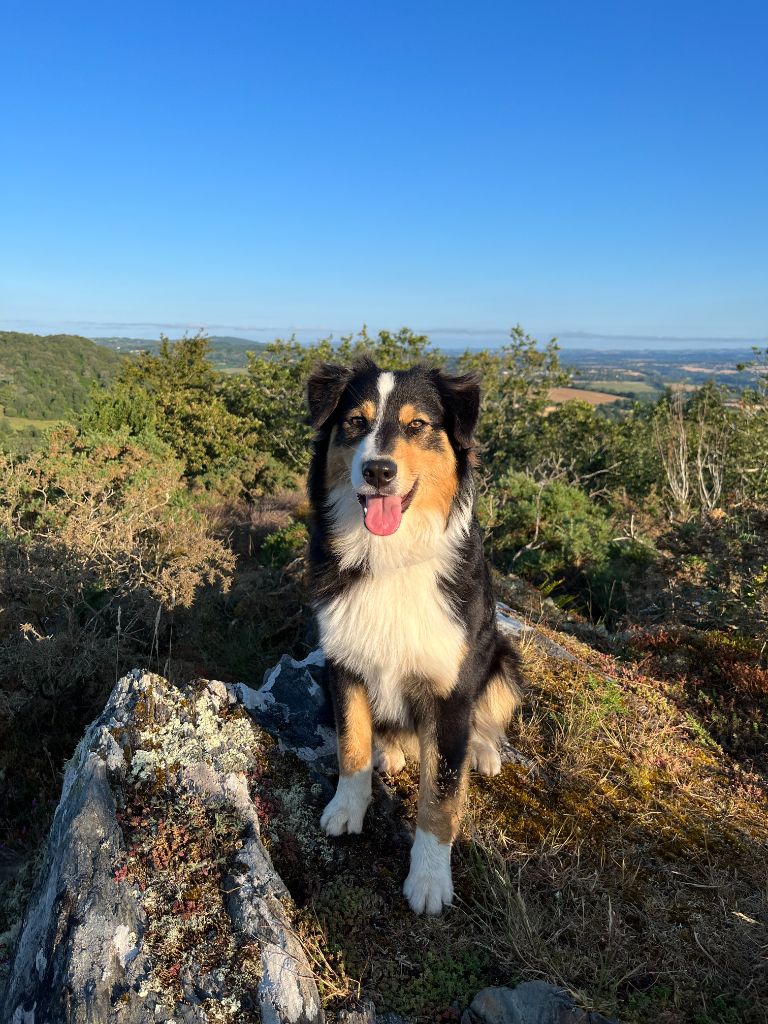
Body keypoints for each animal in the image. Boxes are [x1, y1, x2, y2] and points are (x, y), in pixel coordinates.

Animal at [307, 358, 524, 913]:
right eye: (356, 423)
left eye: (417, 426)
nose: (378, 471)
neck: (391, 556)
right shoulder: (341, 663)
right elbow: (352, 745)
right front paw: (347, 808)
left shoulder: (450, 693)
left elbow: (440, 797)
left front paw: (428, 880)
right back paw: (391, 749)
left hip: (504, 659)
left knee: (486, 720)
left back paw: (484, 751)